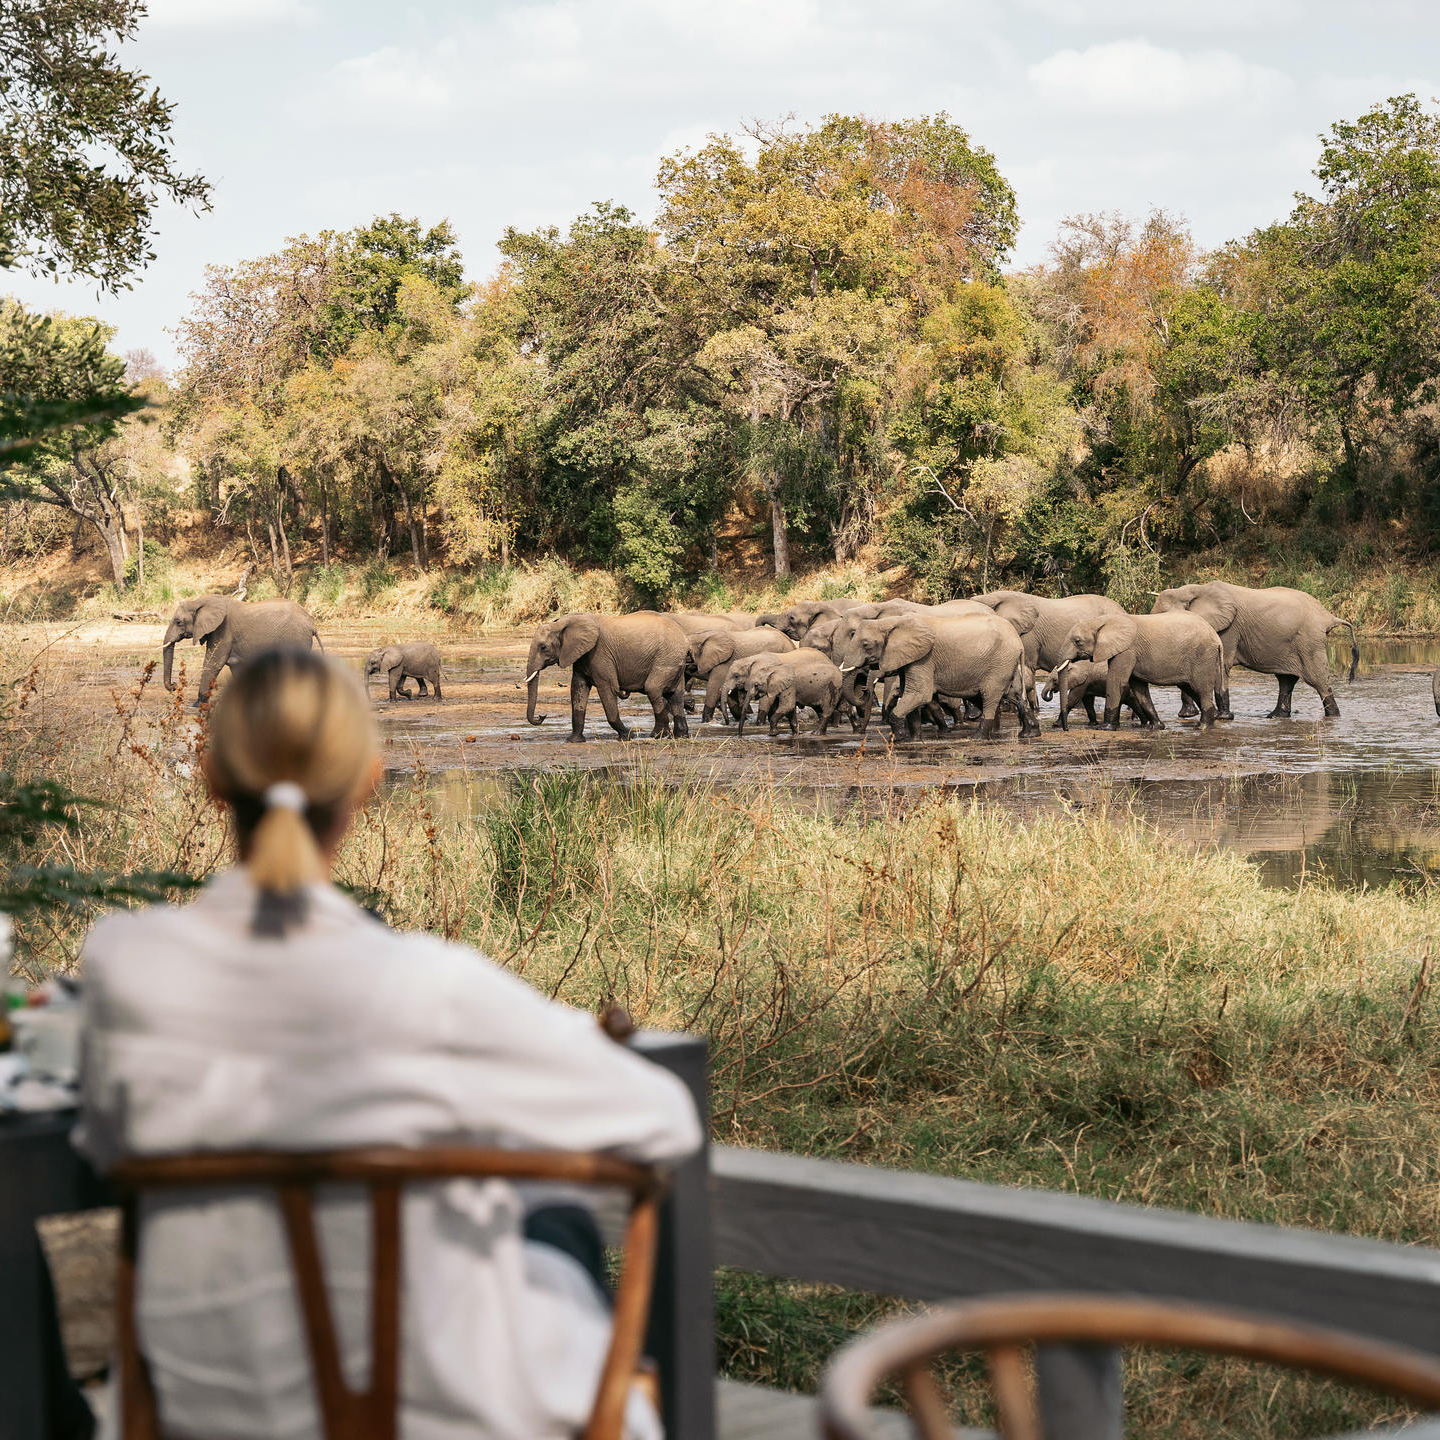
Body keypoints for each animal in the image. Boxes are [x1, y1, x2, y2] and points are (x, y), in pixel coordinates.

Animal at [163, 596, 324, 702]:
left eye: (178, 622)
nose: (174, 685)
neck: (200, 600)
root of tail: (312, 623)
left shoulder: (223, 631)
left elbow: (213, 663)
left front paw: (199, 703)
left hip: (296, 638)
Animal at [527, 610, 688, 743]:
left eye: (543, 647)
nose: (542, 716)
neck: (561, 623)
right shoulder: (582, 655)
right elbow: (578, 688)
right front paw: (573, 741)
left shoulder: (600, 655)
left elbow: (606, 689)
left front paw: (627, 736)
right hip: (674, 660)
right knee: (675, 695)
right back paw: (680, 735)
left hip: (667, 658)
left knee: (653, 689)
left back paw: (658, 735)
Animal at [840, 613, 1042, 743]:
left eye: (866, 644)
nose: (864, 690)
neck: (890, 622)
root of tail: (1018, 640)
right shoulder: (911, 658)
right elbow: (911, 694)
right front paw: (913, 740)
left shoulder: (924, 658)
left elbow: (919, 694)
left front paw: (898, 738)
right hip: (1007, 663)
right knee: (1015, 695)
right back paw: (1029, 734)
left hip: (999, 662)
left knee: (990, 696)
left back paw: (977, 738)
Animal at [1054, 610, 1221, 725]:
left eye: (1077, 641)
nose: (1066, 729)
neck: (1102, 621)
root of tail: (1216, 637)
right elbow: (1139, 688)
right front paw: (1156, 727)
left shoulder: (1127, 650)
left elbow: (1117, 680)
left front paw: (1106, 727)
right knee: (1191, 689)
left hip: (1203, 656)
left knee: (1202, 689)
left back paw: (1203, 726)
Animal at [1146, 578, 1359, 720]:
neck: (1194, 589)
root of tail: (1327, 616)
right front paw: (1187, 715)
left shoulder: (1229, 628)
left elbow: (1221, 665)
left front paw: (1223, 717)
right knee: (1286, 680)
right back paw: (1275, 716)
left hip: (1309, 642)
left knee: (1318, 681)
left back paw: (1333, 716)